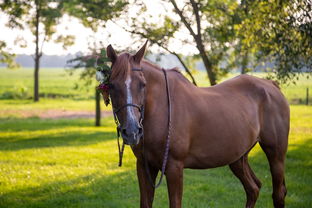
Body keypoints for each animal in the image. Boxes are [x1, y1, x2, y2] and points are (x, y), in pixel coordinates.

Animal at [103, 41, 288, 207]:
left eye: (143, 84)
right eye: (111, 85)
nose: (132, 131)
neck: (162, 110)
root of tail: (271, 86)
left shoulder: (174, 167)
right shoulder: (144, 166)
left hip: (276, 154)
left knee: (278, 193)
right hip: (238, 157)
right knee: (253, 189)